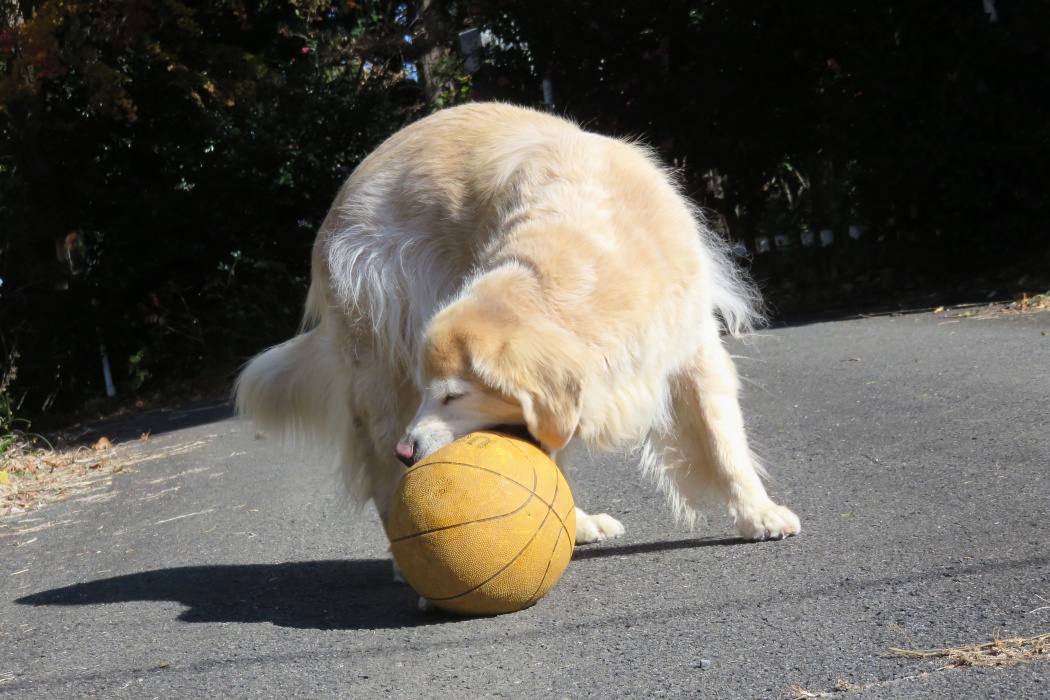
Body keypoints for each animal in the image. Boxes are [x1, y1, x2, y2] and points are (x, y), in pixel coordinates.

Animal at [236, 99, 793, 558]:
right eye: (436, 394)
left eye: (454, 396)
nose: (408, 450)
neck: (582, 256)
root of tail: (331, 217)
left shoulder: (691, 344)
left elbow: (723, 439)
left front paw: (758, 513)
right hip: (382, 370)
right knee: (382, 474)